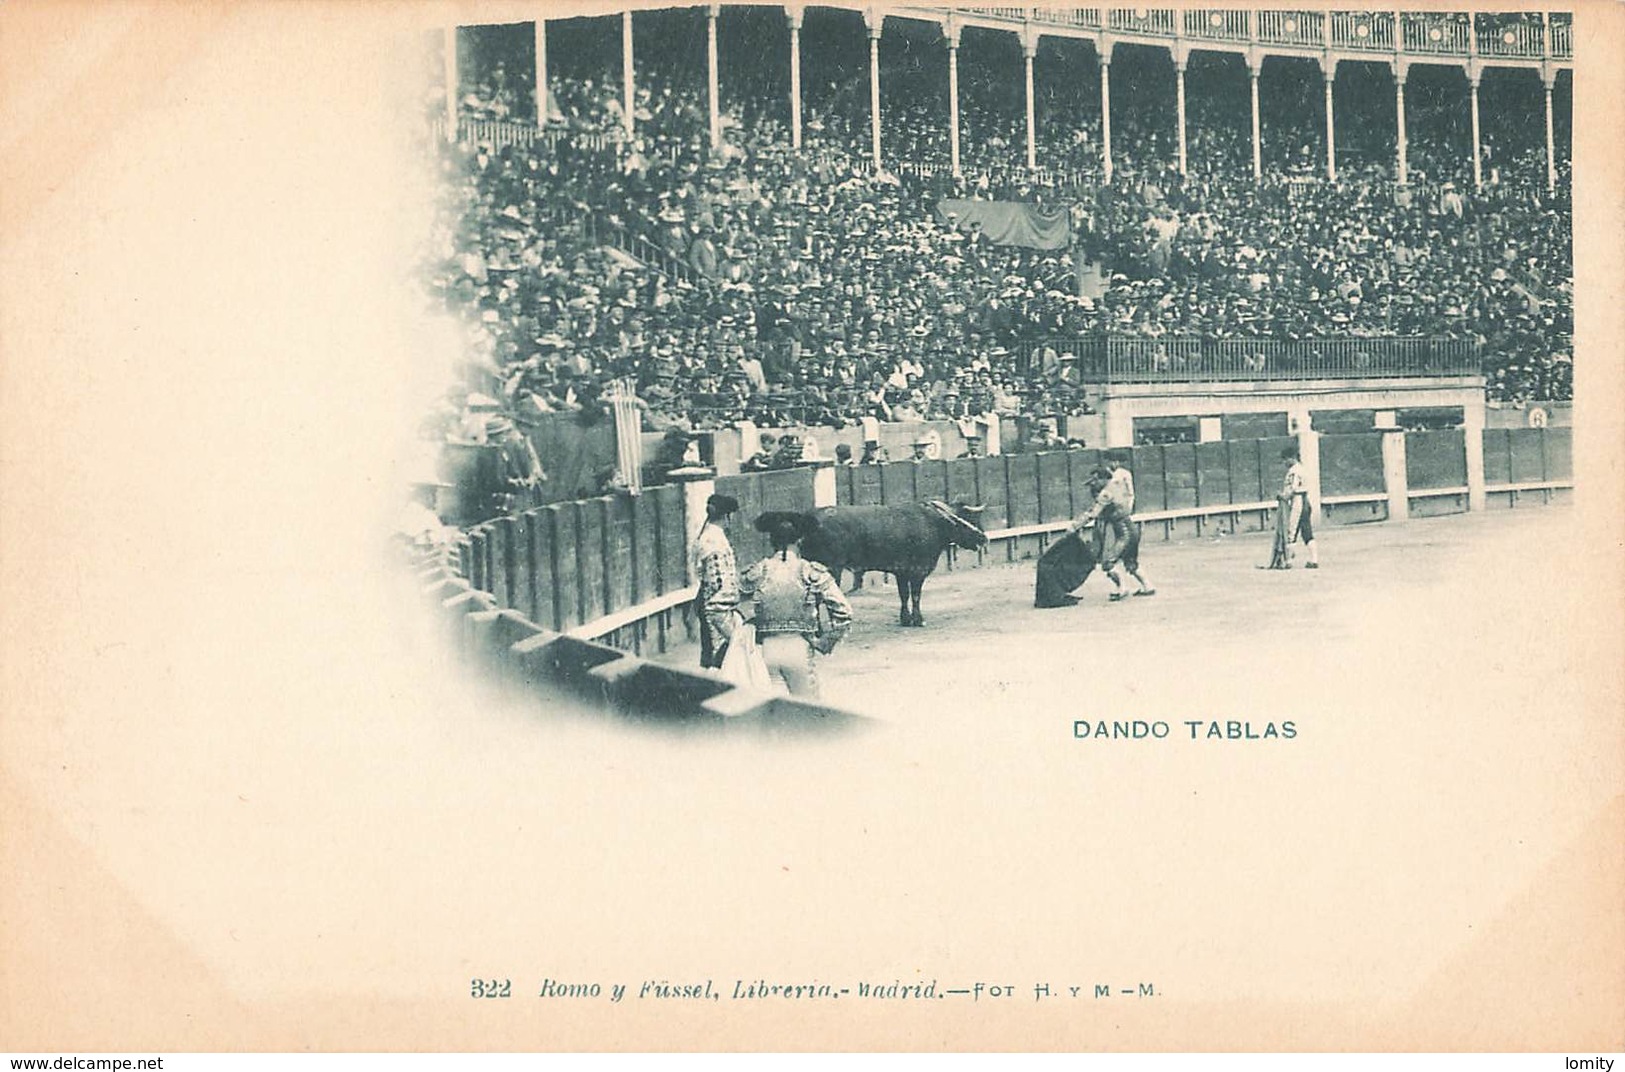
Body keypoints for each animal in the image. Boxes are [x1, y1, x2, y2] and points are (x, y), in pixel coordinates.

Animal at [802, 503, 988, 626]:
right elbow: (915, 595)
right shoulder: (917, 572)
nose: (984, 538)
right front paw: (918, 620)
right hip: (830, 570)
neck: (933, 523)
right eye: (968, 519)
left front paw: (906, 619)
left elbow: (904, 595)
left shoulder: (902, 573)